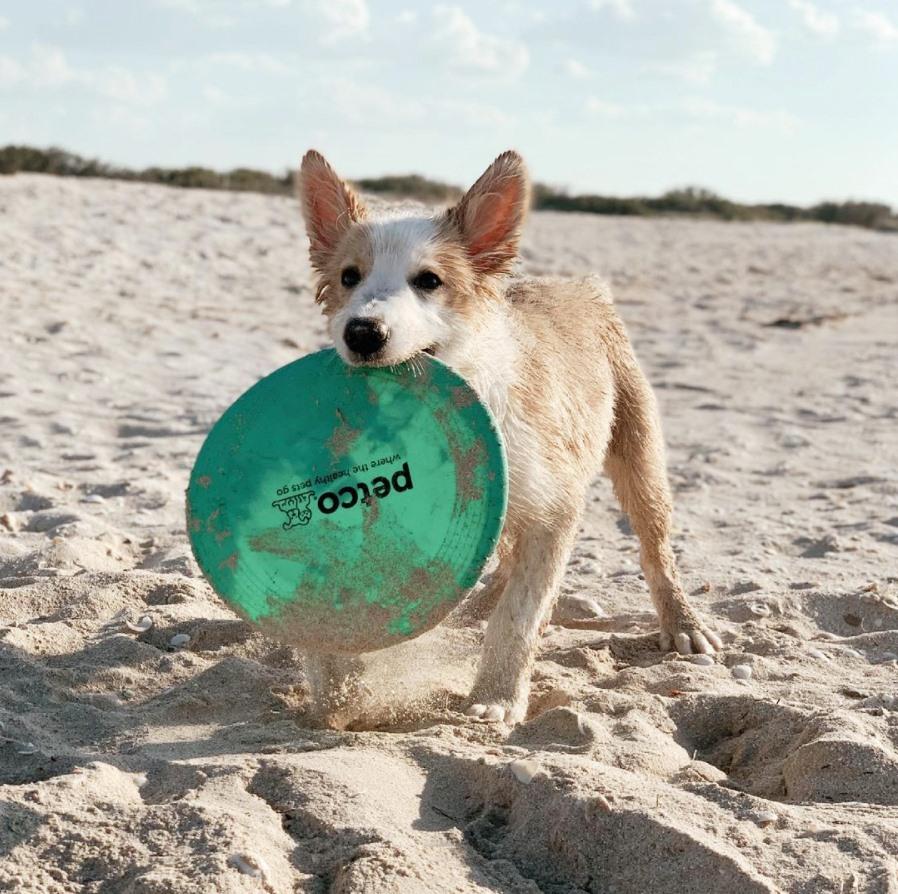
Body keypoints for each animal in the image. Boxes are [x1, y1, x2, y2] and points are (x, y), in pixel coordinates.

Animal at [298, 150, 716, 724]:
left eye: (429, 281)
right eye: (348, 276)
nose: (362, 333)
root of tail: (581, 284)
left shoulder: (554, 507)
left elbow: (520, 614)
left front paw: (496, 695)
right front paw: (340, 682)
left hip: (639, 457)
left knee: (655, 550)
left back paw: (682, 624)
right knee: (504, 560)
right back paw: (472, 608)